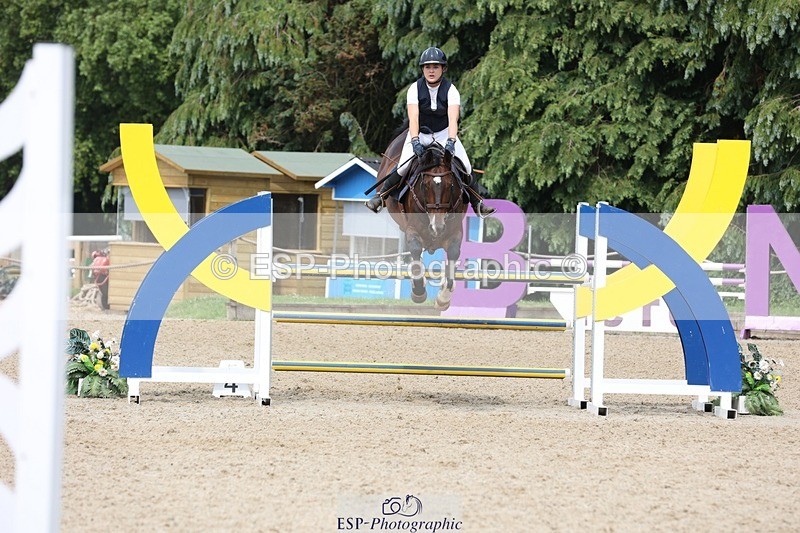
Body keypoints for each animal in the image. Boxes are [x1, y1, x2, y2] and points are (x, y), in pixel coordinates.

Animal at [375, 128, 468, 310]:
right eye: (424, 186)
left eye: (451, 185)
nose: (437, 228)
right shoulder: (412, 229)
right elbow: (416, 251)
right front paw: (418, 291)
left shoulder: (455, 231)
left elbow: (453, 254)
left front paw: (443, 298)